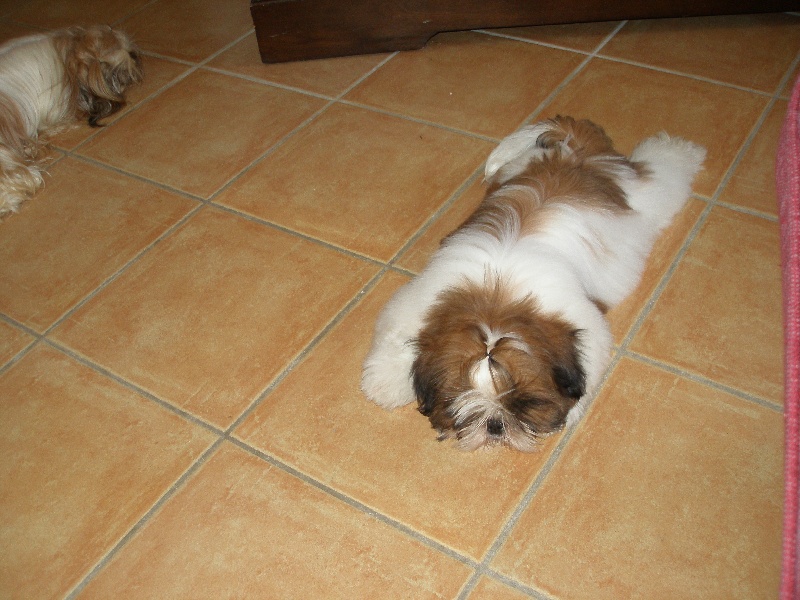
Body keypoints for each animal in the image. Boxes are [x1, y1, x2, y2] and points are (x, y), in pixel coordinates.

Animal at [362, 116, 708, 450]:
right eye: (460, 405)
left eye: (524, 403)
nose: (495, 424)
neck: (496, 296)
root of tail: (576, 150)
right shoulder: (423, 298)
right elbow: (400, 337)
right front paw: (387, 380)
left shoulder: (582, 322)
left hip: (645, 194)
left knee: (662, 173)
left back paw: (679, 149)